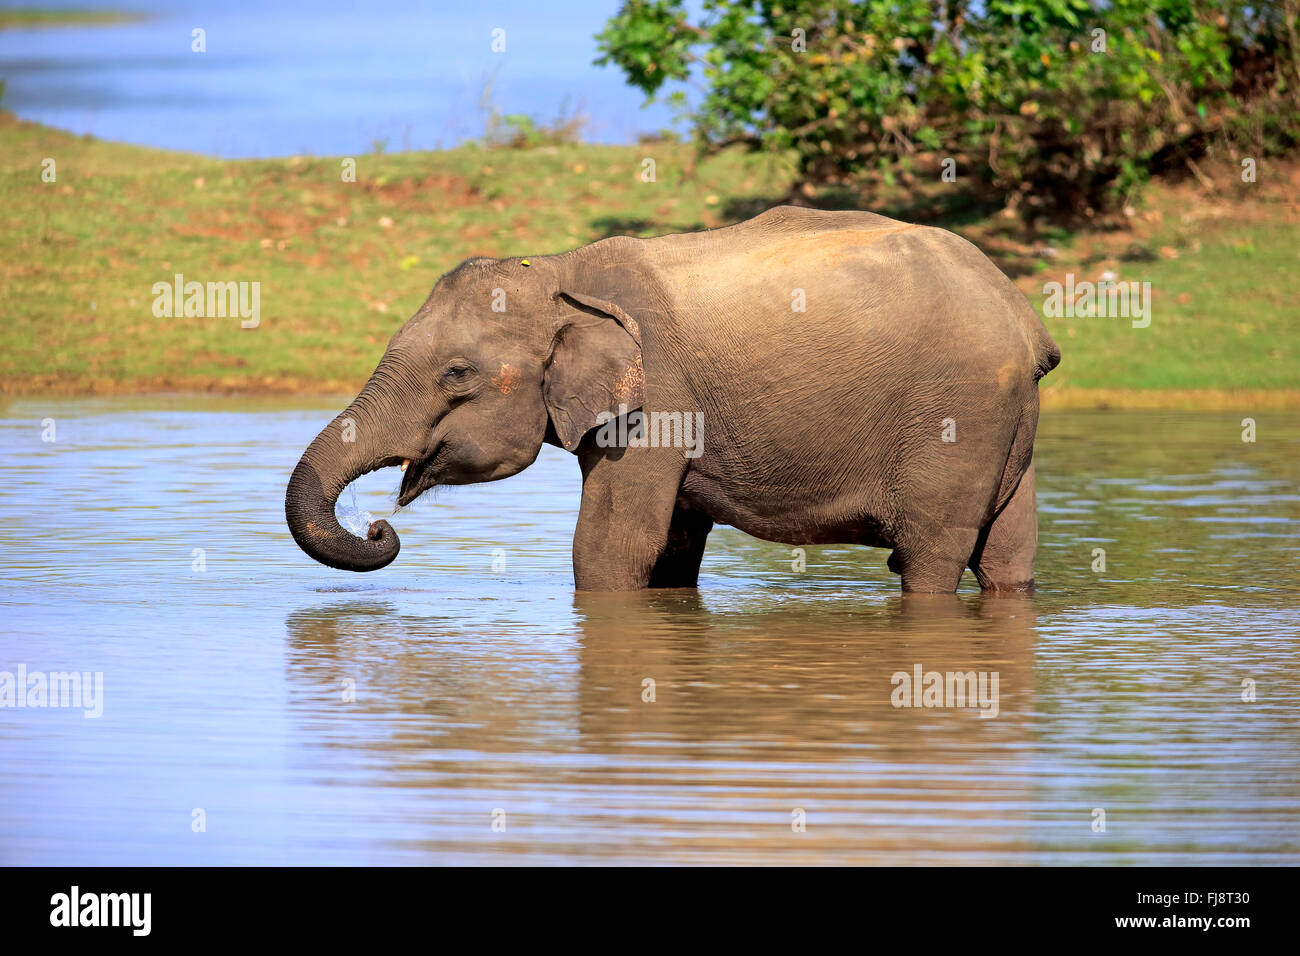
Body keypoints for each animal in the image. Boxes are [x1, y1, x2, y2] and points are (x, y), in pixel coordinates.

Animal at [284, 206, 1055, 595]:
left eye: (455, 374)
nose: (379, 527)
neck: (559, 271)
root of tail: (1027, 319)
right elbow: (674, 545)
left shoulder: (659, 395)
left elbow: (612, 543)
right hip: (1008, 421)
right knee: (1008, 555)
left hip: (960, 412)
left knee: (931, 555)